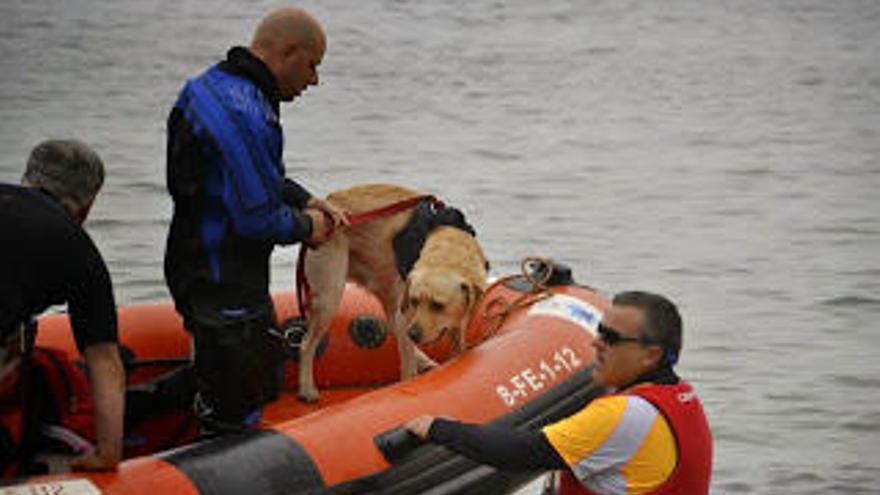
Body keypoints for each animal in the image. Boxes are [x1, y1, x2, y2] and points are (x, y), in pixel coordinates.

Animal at [298, 184, 488, 402]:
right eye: (415, 301)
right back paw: (307, 389)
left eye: (438, 305)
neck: (447, 246)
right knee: (306, 344)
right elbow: (407, 365)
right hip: (331, 294)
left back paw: (425, 361)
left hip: (386, 288)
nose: (414, 334)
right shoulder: (406, 313)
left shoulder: (456, 320)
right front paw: (409, 385)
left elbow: (457, 344)